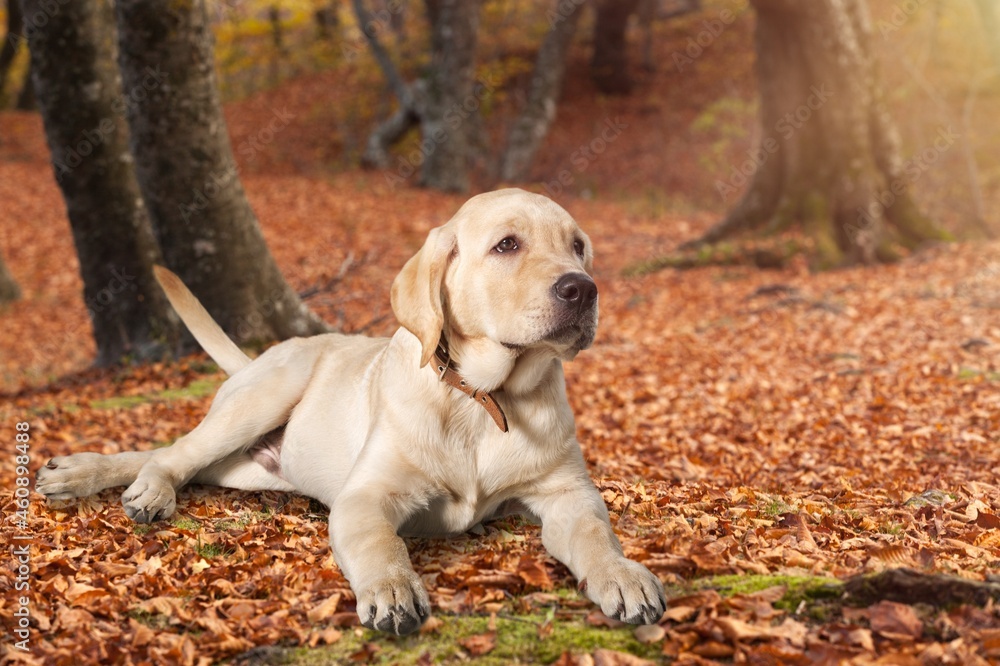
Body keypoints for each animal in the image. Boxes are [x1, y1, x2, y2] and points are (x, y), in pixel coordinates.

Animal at [35, 188, 668, 632]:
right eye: (507, 245)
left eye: (578, 246)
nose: (583, 289)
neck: (484, 398)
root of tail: (256, 360)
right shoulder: (367, 497)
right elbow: (380, 545)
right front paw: (392, 590)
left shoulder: (567, 493)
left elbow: (596, 533)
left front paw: (623, 576)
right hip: (266, 395)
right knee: (173, 453)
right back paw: (132, 486)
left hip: (249, 467)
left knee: (175, 455)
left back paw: (77, 472)